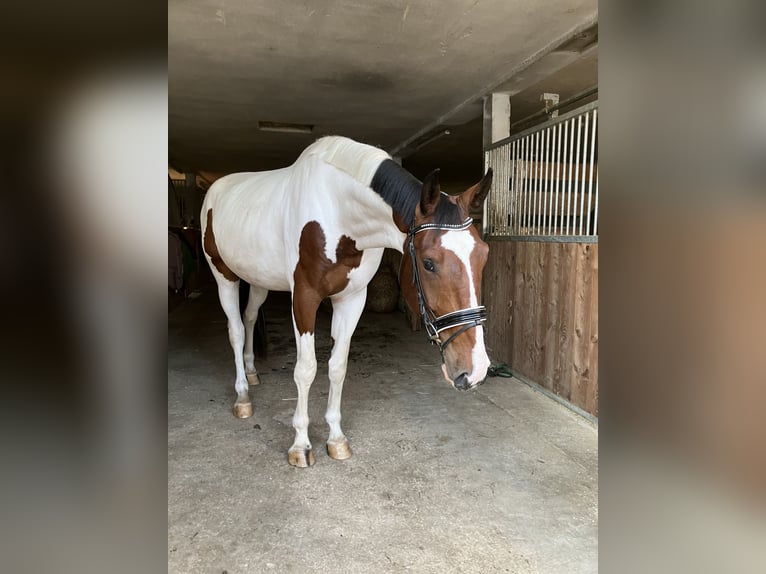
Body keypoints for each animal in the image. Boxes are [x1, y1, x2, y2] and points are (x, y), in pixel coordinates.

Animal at [201, 136, 496, 468]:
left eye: (484, 254)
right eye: (429, 263)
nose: (476, 370)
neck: (338, 214)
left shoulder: (353, 299)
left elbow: (337, 367)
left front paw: (336, 439)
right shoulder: (304, 297)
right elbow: (306, 369)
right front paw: (301, 445)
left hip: (258, 278)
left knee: (250, 318)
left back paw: (252, 373)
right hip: (223, 276)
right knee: (236, 331)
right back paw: (242, 397)